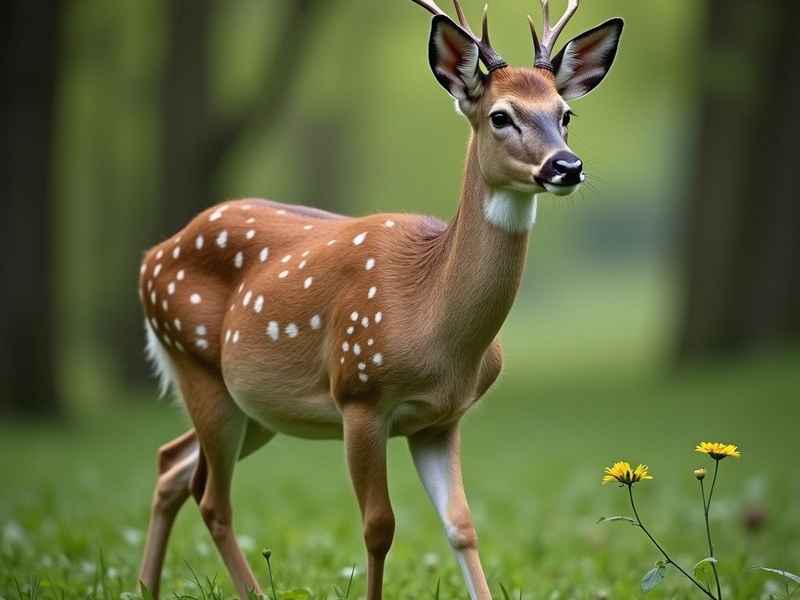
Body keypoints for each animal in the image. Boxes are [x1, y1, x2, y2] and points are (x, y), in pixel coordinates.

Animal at [136, 1, 623, 598]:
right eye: (501, 116)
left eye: (565, 114)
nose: (566, 166)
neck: (437, 329)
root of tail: (152, 255)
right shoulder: (359, 394)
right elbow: (378, 527)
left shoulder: (441, 419)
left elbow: (462, 525)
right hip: (199, 366)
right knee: (212, 499)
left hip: (254, 404)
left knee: (172, 464)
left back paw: (145, 584)